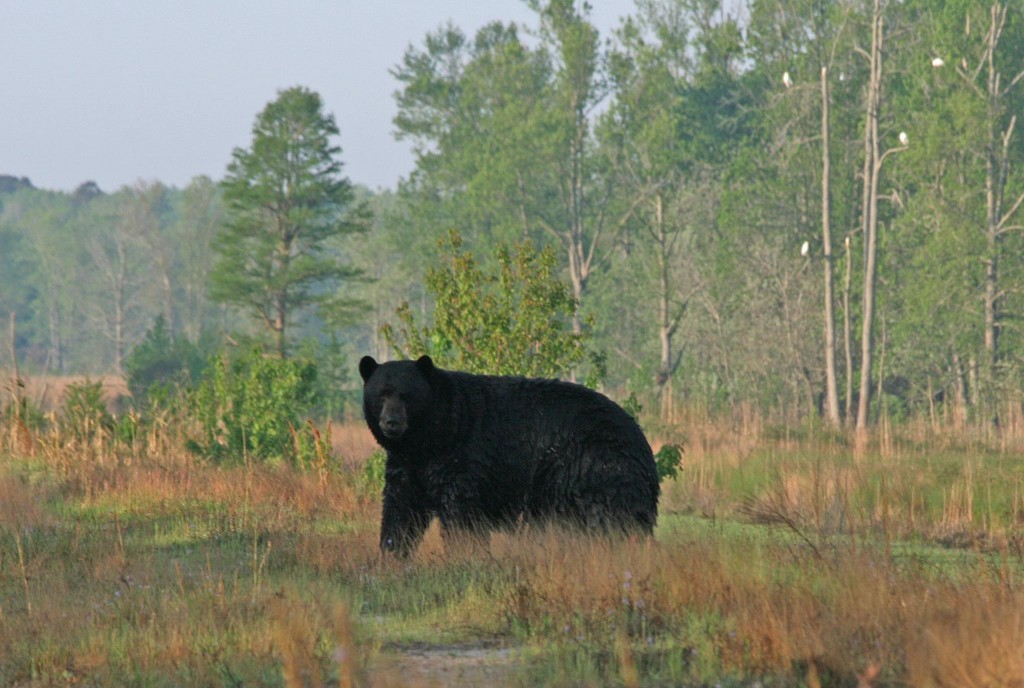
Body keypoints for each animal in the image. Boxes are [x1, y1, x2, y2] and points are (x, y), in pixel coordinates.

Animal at [360, 354, 659, 556]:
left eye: (406, 396)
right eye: (381, 395)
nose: (391, 423)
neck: (430, 438)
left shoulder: (461, 456)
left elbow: (460, 511)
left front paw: (464, 554)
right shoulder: (407, 465)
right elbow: (401, 509)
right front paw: (391, 553)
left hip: (595, 468)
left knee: (607, 520)